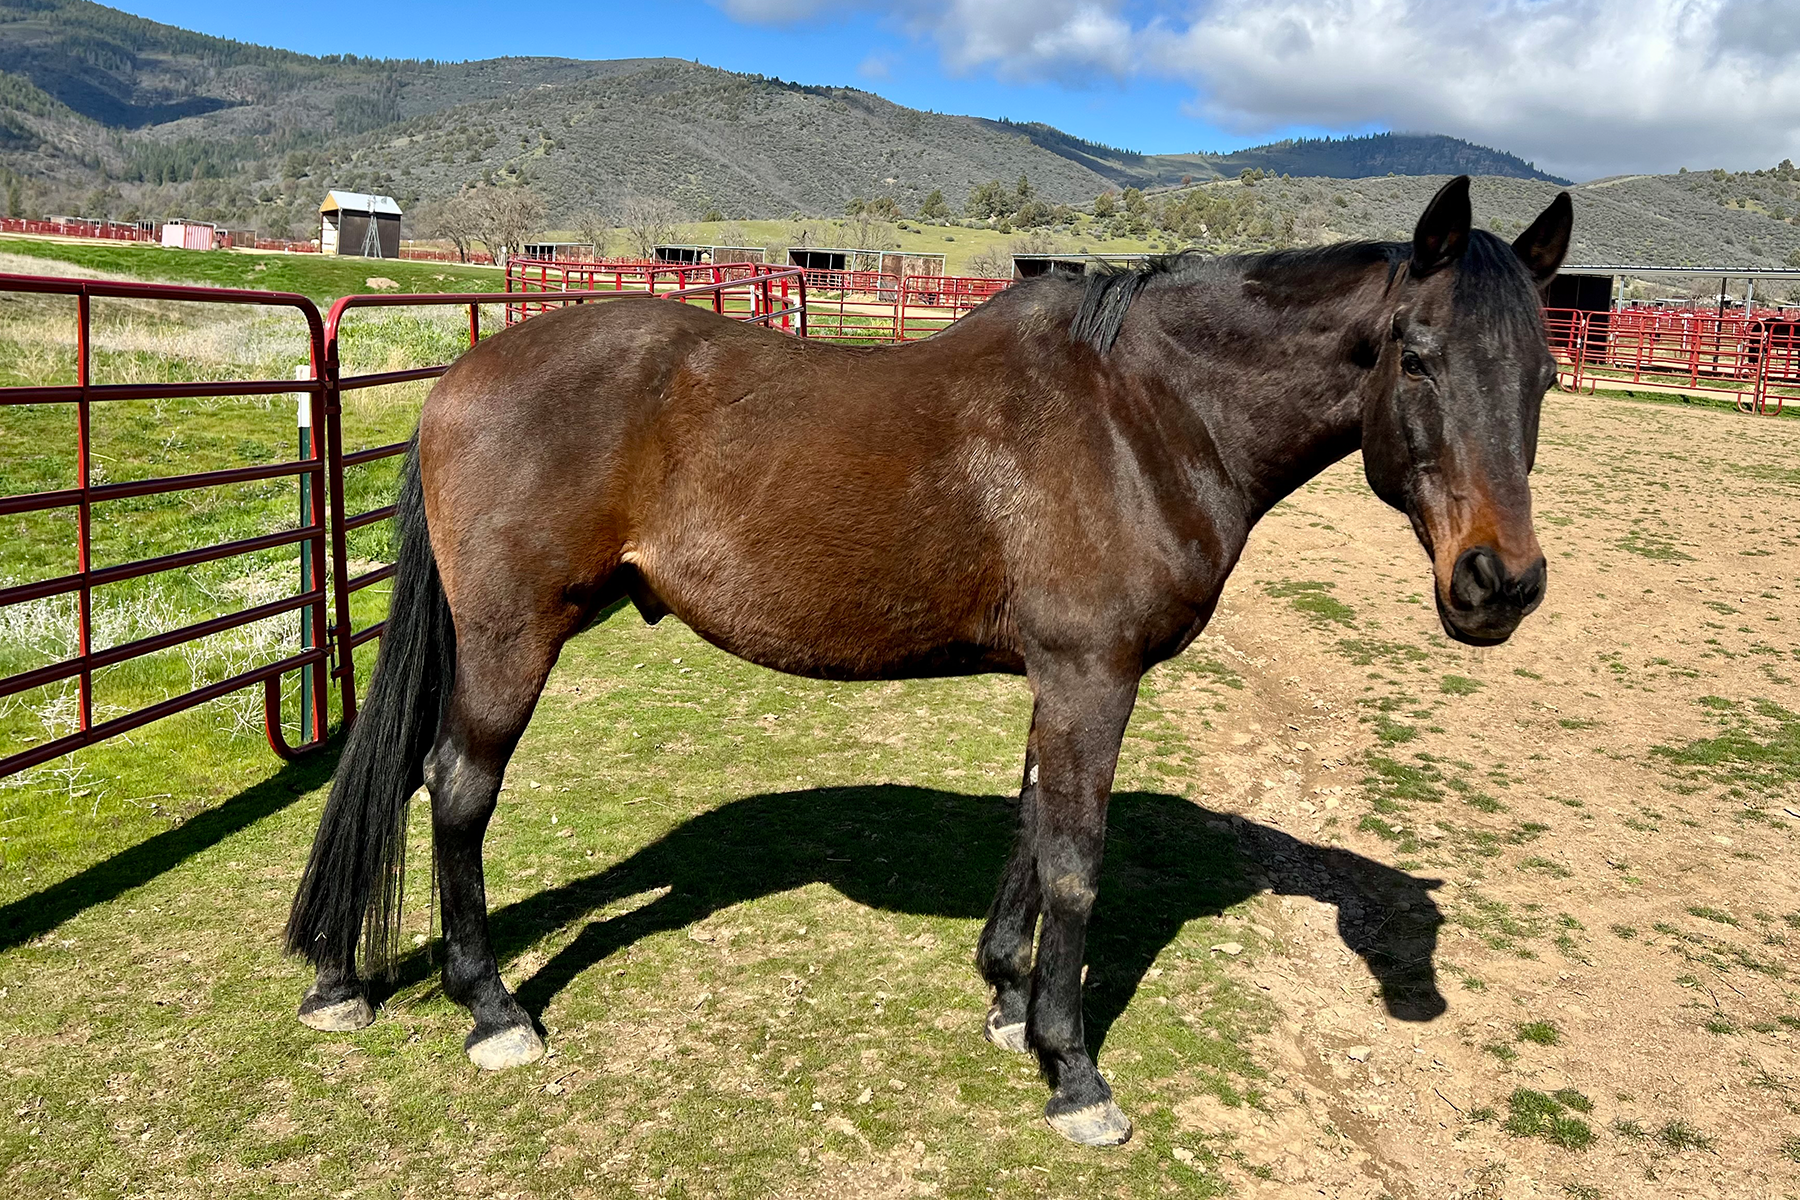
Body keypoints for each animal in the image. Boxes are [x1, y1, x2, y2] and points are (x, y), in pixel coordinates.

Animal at [285, 176, 1571, 1147]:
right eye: (1417, 356)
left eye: (1545, 374)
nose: (1499, 586)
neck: (1144, 417)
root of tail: (458, 383)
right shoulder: (1094, 679)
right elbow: (1076, 864)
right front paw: (1073, 1072)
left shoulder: (1061, 681)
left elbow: (1032, 828)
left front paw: (1007, 999)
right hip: (514, 641)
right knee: (456, 789)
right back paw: (492, 1009)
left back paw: (344, 978)